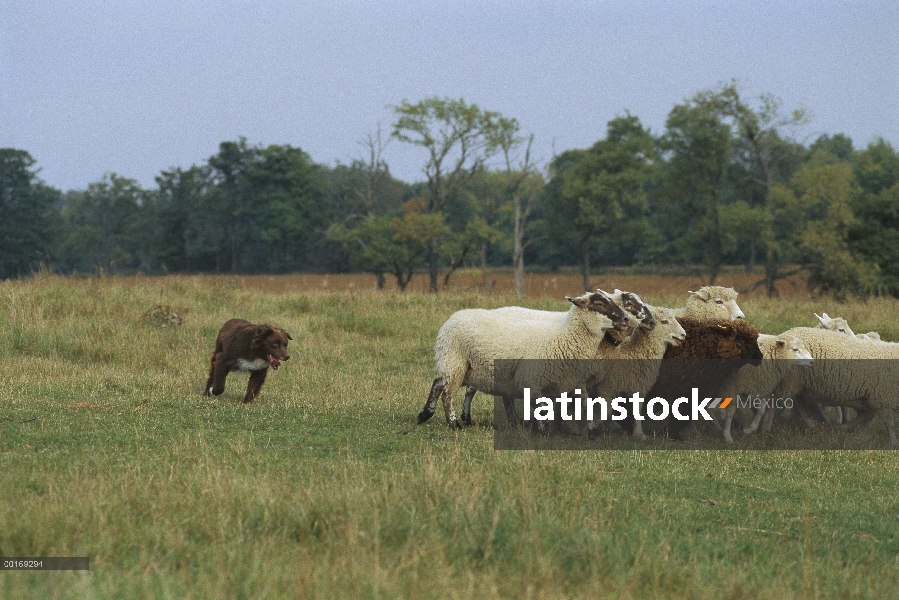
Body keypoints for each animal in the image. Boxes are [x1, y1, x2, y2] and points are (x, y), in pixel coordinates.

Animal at [418, 290, 628, 426]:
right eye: (599, 304)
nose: (625, 319)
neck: (563, 337)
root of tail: (453, 317)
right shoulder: (534, 380)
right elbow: (542, 409)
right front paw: (542, 431)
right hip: (455, 360)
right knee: (447, 393)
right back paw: (454, 423)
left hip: (469, 369)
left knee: (439, 382)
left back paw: (425, 414)